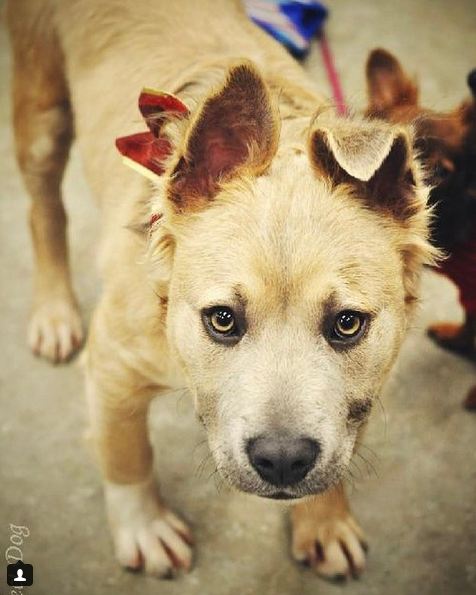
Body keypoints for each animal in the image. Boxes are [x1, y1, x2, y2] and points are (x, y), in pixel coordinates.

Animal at [6, 0, 436, 584]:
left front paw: (323, 520)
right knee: (44, 208)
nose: (282, 460)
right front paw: (144, 528)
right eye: (222, 319)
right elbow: (126, 453)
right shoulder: (112, 365)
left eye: (347, 323)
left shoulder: (365, 388)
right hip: (42, 115)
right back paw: (54, 313)